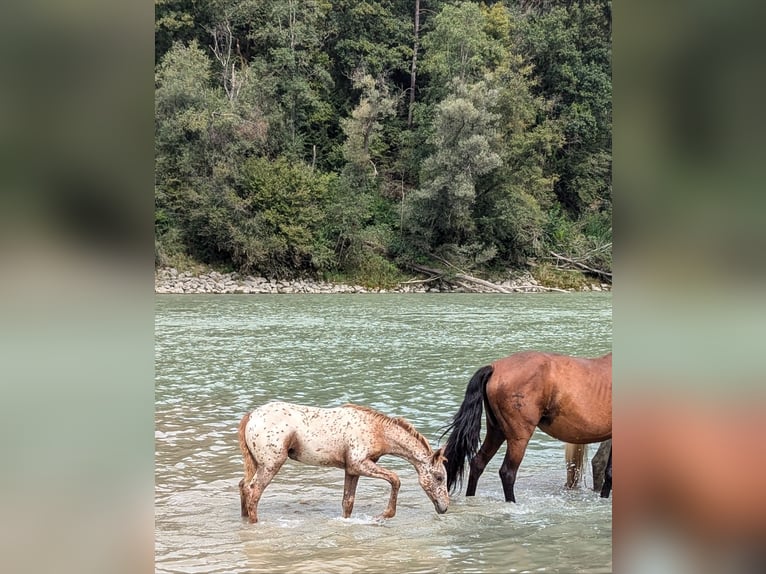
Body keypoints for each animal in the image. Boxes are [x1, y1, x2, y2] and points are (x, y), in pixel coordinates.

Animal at [237, 402, 448, 524]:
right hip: (271, 464)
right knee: (254, 491)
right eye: (439, 477)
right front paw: (383, 515)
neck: (377, 430)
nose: (444, 507)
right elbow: (395, 479)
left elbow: (348, 502)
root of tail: (251, 416)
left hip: (256, 463)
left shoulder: (351, 470)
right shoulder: (359, 464)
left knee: (243, 486)